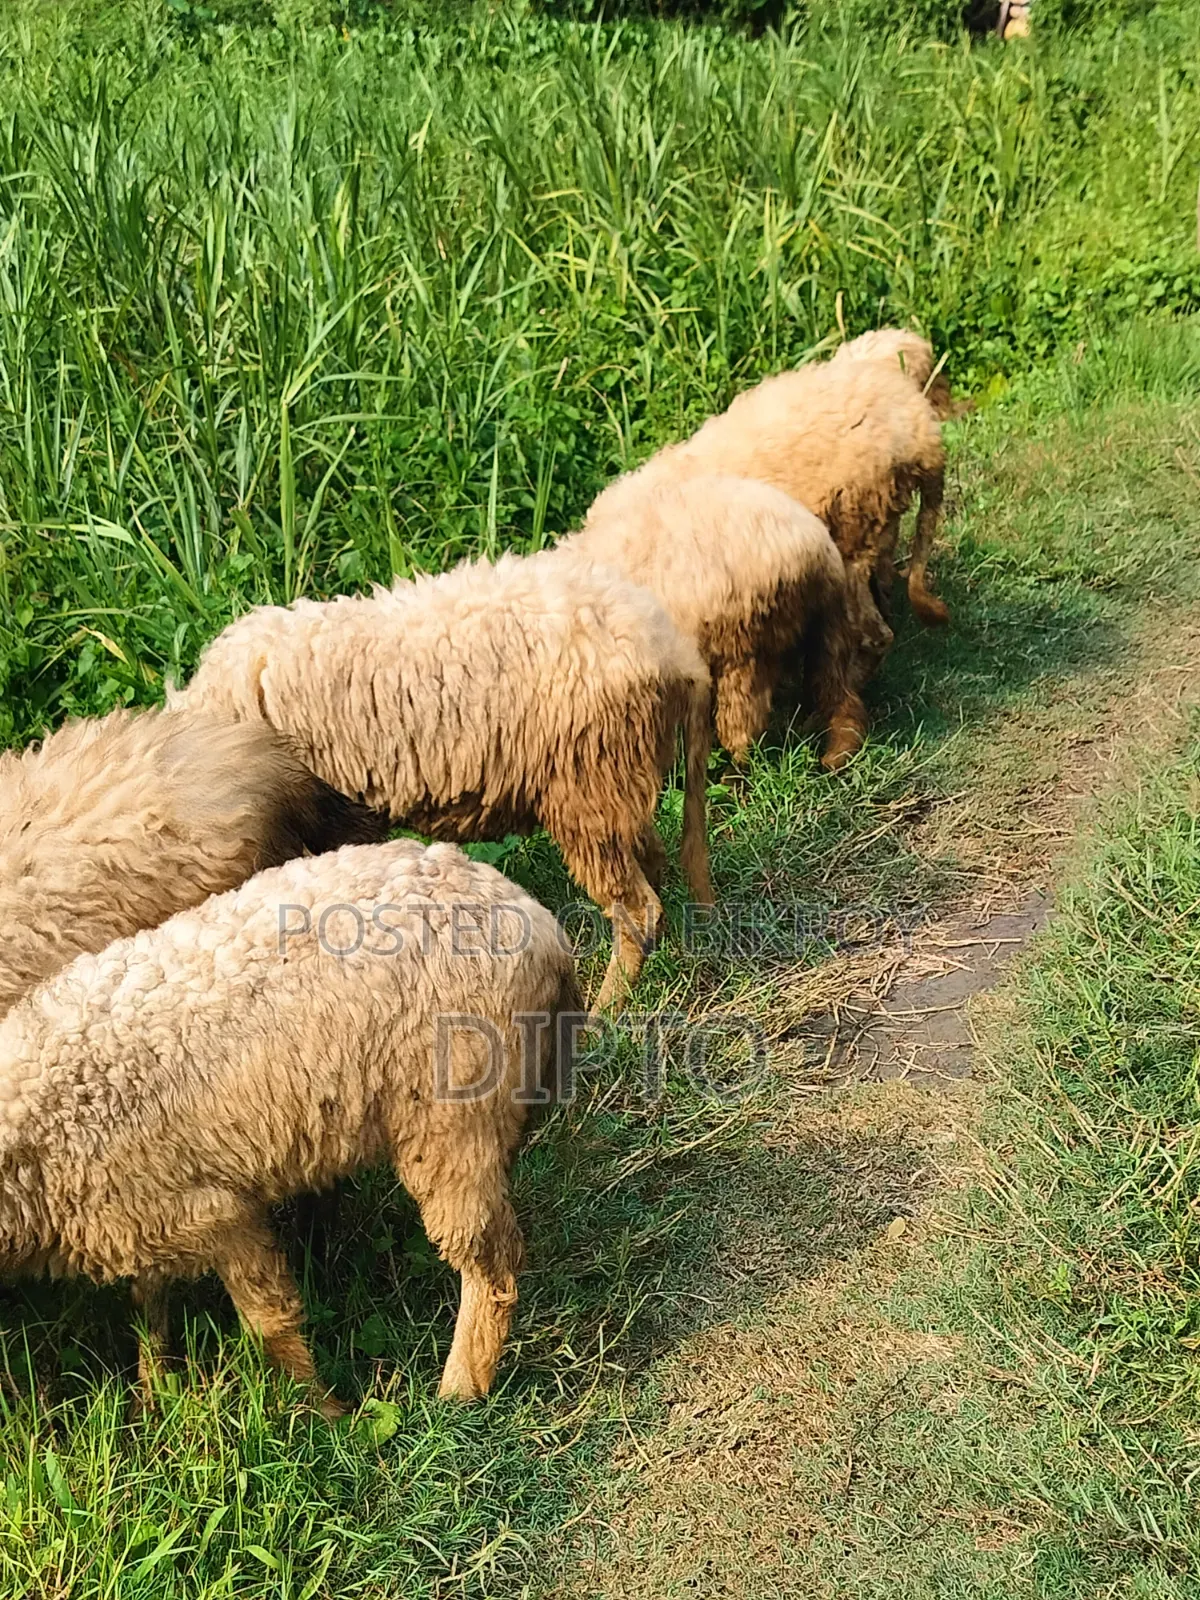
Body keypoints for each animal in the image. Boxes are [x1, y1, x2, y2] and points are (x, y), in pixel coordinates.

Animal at [0, 839, 583, 1417]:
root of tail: (539, 923)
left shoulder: (219, 1212)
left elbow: (268, 1323)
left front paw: (322, 1412)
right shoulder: (149, 1210)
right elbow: (150, 1305)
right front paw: (154, 1390)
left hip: (453, 1124)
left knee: (491, 1265)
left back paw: (459, 1391)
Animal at [169, 549, 714, 1013]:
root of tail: (671, 648)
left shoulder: (338, 814)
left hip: (587, 785)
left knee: (638, 907)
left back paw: (606, 1010)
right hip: (617, 781)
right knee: (653, 865)